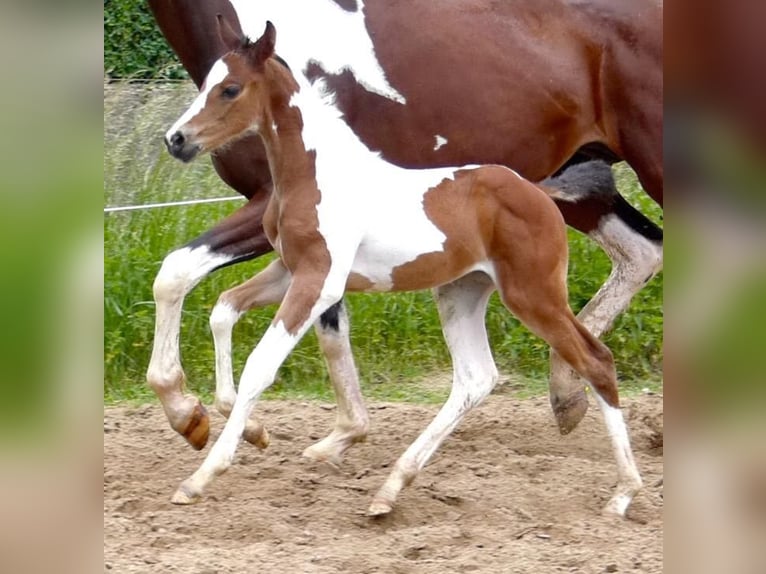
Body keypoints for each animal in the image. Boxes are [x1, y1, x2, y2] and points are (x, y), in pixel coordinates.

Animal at [165, 20, 644, 520]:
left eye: (230, 89)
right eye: (206, 82)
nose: (177, 140)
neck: (316, 173)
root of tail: (538, 192)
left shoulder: (319, 279)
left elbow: (261, 363)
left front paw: (202, 476)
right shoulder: (289, 270)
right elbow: (223, 309)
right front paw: (243, 427)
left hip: (534, 294)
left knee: (595, 361)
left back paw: (623, 493)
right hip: (461, 292)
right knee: (476, 377)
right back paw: (390, 489)